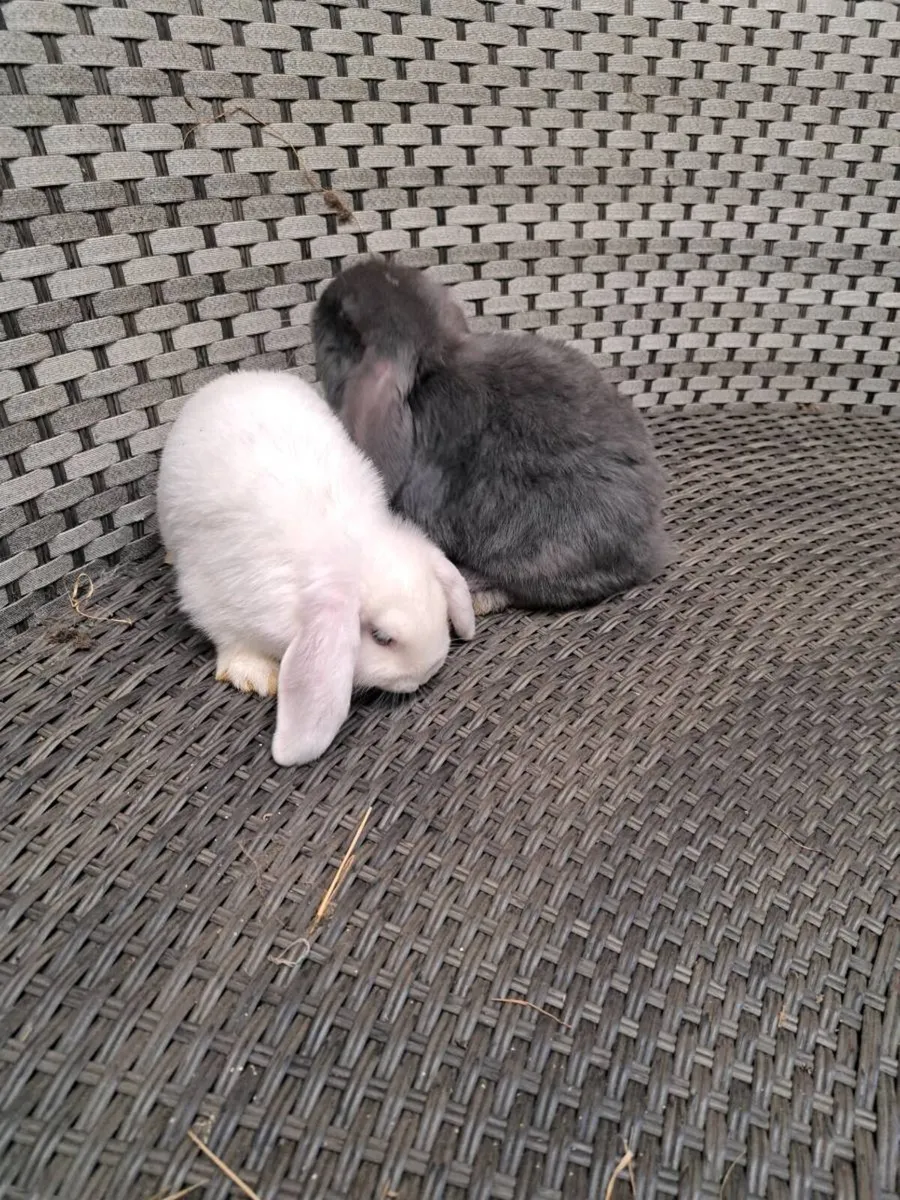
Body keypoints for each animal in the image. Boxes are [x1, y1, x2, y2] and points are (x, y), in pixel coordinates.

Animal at [155, 369, 475, 767]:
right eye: (382, 638)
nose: (429, 669)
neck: (345, 543)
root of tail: (237, 377)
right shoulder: (210, 594)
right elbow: (229, 637)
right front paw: (254, 675)